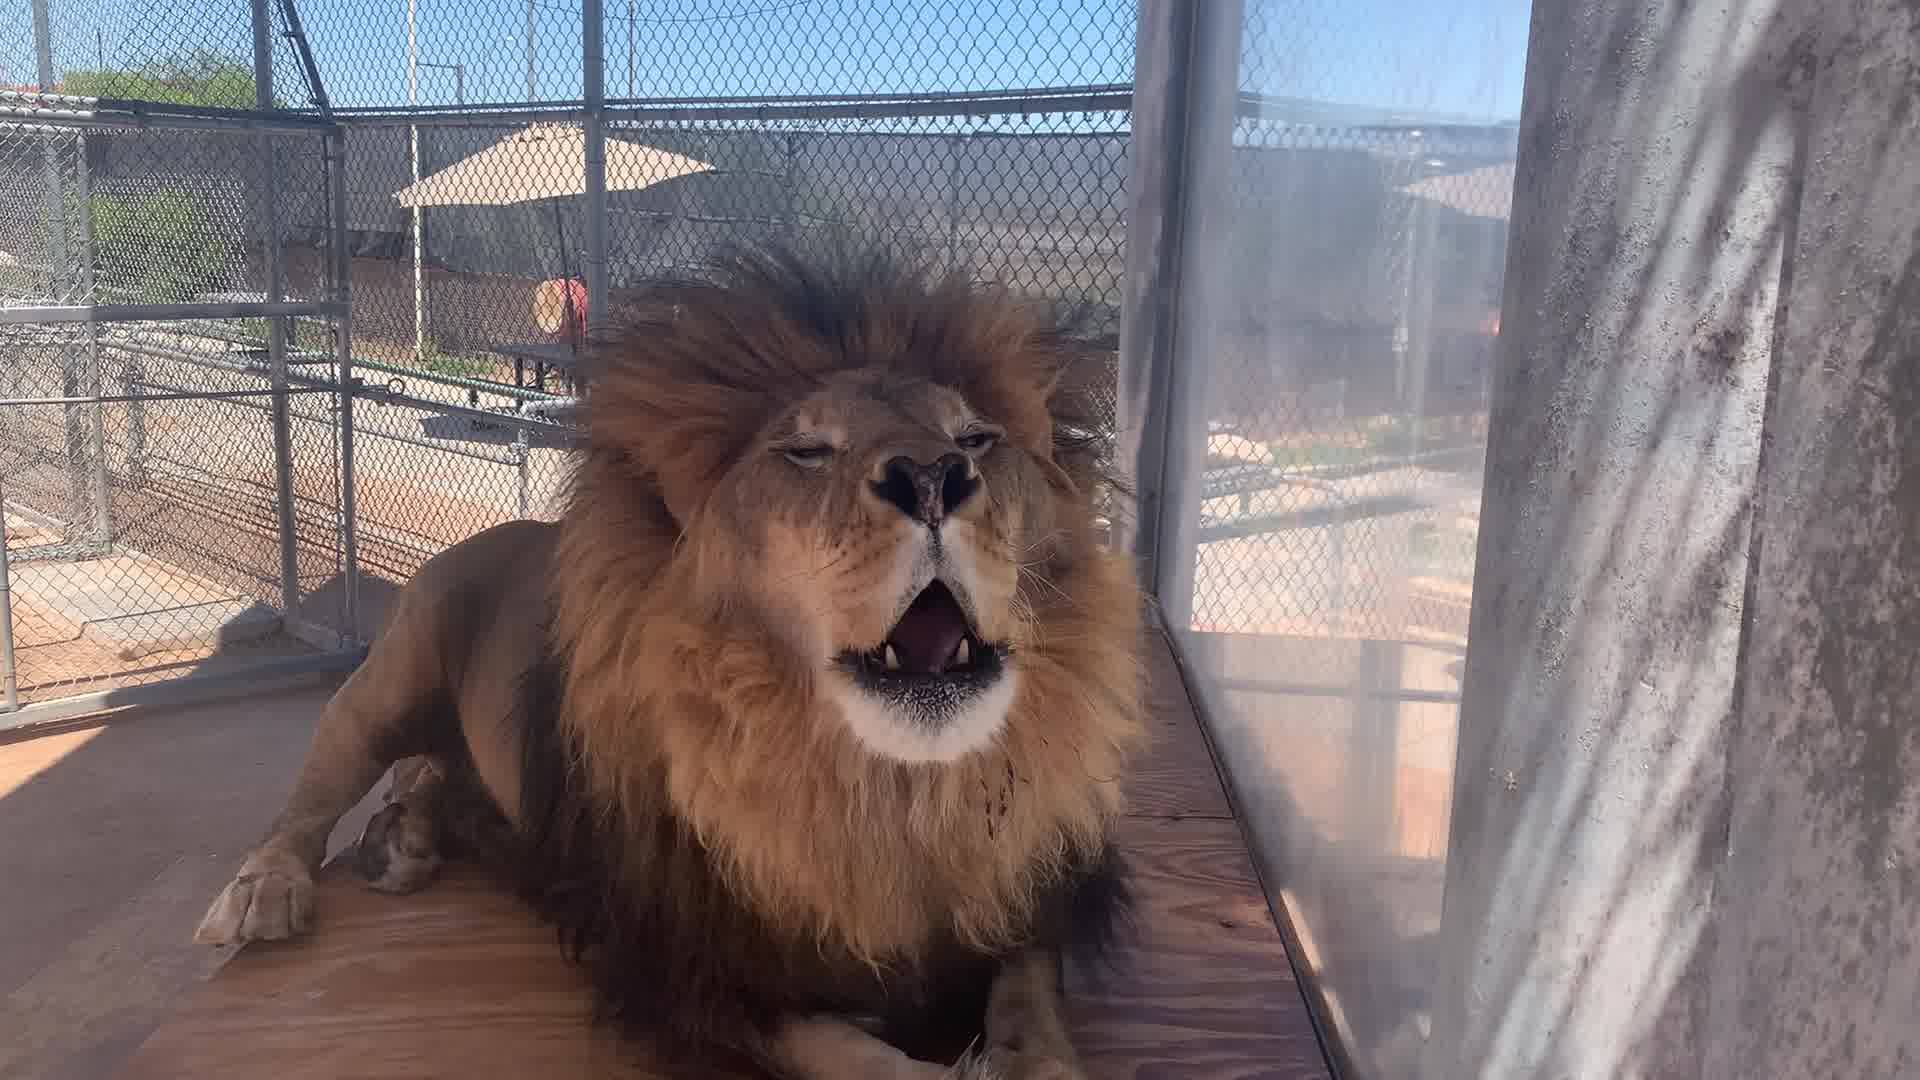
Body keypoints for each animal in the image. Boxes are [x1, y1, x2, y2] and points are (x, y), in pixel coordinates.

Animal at [193, 243, 1148, 1079]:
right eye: (807, 450)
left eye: (979, 440)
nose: (933, 476)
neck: (886, 790)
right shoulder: (685, 966)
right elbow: (851, 1056)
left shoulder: (1026, 893)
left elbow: (1033, 1005)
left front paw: (1031, 1057)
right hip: (392, 676)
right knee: (320, 791)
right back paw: (269, 888)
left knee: (426, 778)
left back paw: (402, 837)